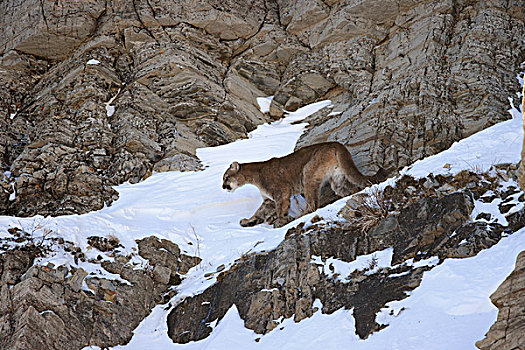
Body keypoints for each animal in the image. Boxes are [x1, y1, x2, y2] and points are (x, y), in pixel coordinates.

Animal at [222, 142, 388, 227]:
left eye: (226, 178)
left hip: (308, 172)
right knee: (349, 188)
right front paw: (248, 221)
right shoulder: (268, 199)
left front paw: (280, 221)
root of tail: (336, 144)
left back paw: (299, 216)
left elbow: (280, 209)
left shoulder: (281, 191)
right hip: (336, 179)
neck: (255, 176)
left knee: (312, 205)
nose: (223, 187)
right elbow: (259, 211)